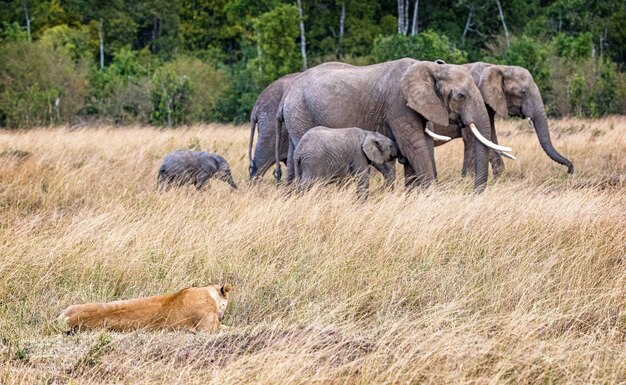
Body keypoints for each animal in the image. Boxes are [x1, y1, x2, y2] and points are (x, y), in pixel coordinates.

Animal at [272, 59, 508, 192]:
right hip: (301, 113)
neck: (429, 68)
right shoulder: (398, 105)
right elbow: (415, 146)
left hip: (297, 117)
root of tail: (284, 99)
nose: (474, 192)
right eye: (461, 95)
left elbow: (422, 145)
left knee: (293, 160)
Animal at [428, 62, 572, 178]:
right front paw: (466, 181)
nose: (569, 170)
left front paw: (498, 179)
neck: (498, 67)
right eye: (523, 93)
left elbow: (490, 138)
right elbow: (473, 140)